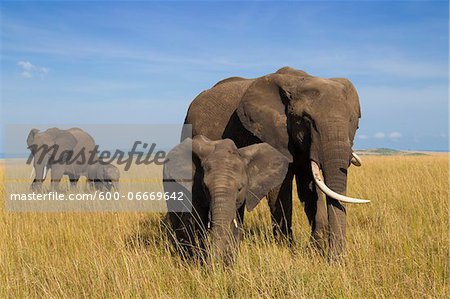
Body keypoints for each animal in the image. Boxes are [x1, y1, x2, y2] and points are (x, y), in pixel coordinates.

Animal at [163, 135, 290, 264]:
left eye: (240, 188)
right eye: (205, 187)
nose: (216, 262)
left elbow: (236, 226)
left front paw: (228, 265)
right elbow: (196, 224)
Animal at [182, 67, 370, 262]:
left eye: (353, 122)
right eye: (306, 120)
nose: (336, 260)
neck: (300, 80)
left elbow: (310, 188)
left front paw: (316, 249)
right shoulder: (271, 133)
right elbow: (279, 190)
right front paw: (287, 251)